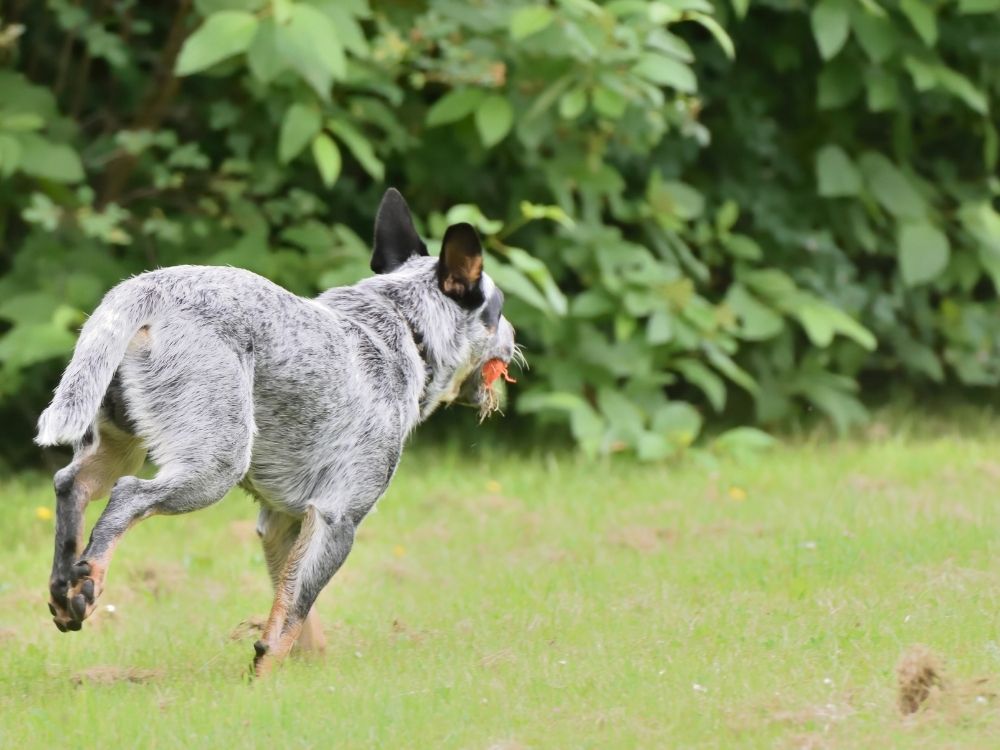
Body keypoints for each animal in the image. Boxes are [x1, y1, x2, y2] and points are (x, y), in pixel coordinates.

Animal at [35, 187, 520, 676]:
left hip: (118, 444)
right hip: (215, 466)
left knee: (72, 483)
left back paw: (65, 589)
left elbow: (293, 612)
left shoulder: (281, 523)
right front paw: (264, 677)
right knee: (127, 497)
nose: (516, 338)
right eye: (497, 311)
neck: (404, 325)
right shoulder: (337, 518)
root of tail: (147, 287)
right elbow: (293, 615)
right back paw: (90, 580)